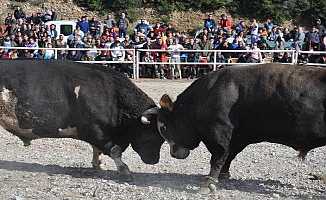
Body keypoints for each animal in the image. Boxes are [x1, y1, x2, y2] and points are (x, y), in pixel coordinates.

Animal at [0, 59, 163, 177]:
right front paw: (124, 169)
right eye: (150, 135)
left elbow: (97, 149)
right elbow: (114, 150)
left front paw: (97, 164)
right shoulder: (94, 130)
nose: (154, 160)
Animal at [141, 63, 326, 192]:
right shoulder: (238, 137)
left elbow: (218, 157)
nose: (174, 153)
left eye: (164, 127)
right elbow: (229, 156)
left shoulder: (218, 133)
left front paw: (209, 183)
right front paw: (223, 175)